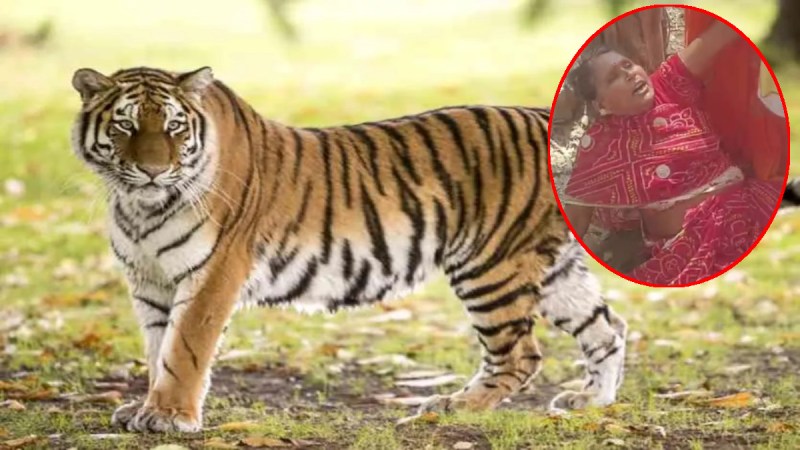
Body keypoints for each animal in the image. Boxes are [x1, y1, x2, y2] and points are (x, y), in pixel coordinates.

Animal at [70, 66, 627, 432]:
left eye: (173, 126)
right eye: (124, 125)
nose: (152, 170)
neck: (141, 206)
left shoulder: (211, 275)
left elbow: (183, 349)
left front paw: (168, 417)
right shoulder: (150, 281)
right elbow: (157, 348)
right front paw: (145, 407)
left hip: (490, 265)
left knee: (519, 354)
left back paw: (453, 406)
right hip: (552, 270)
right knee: (607, 327)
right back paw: (591, 400)